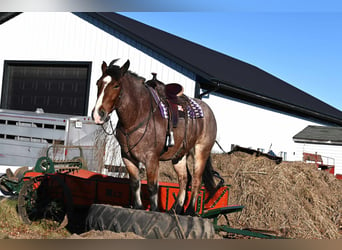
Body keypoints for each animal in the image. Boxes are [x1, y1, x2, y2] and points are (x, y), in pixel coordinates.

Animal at [92, 58, 220, 215]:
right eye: (98, 83)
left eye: (116, 85)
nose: (98, 114)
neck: (138, 115)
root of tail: (208, 111)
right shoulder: (127, 157)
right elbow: (134, 183)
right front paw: (138, 207)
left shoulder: (151, 158)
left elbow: (152, 187)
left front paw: (154, 210)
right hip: (179, 156)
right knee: (184, 179)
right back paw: (175, 209)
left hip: (201, 151)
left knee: (196, 180)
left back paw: (190, 210)